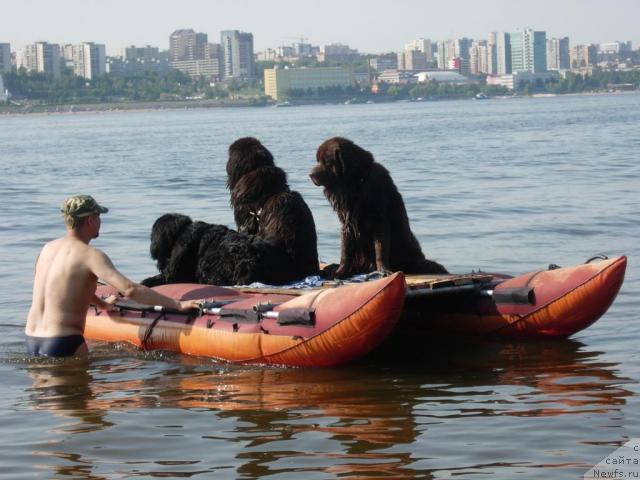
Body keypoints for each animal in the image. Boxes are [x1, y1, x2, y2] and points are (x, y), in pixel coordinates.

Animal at [308, 136, 448, 278]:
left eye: (326, 161)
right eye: (318, 160)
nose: (310, 174)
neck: (355, 184)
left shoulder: (379, 220)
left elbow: (380, 248)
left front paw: (383, 270)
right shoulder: (346, 222)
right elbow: (346, 250)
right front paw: (341, 271)